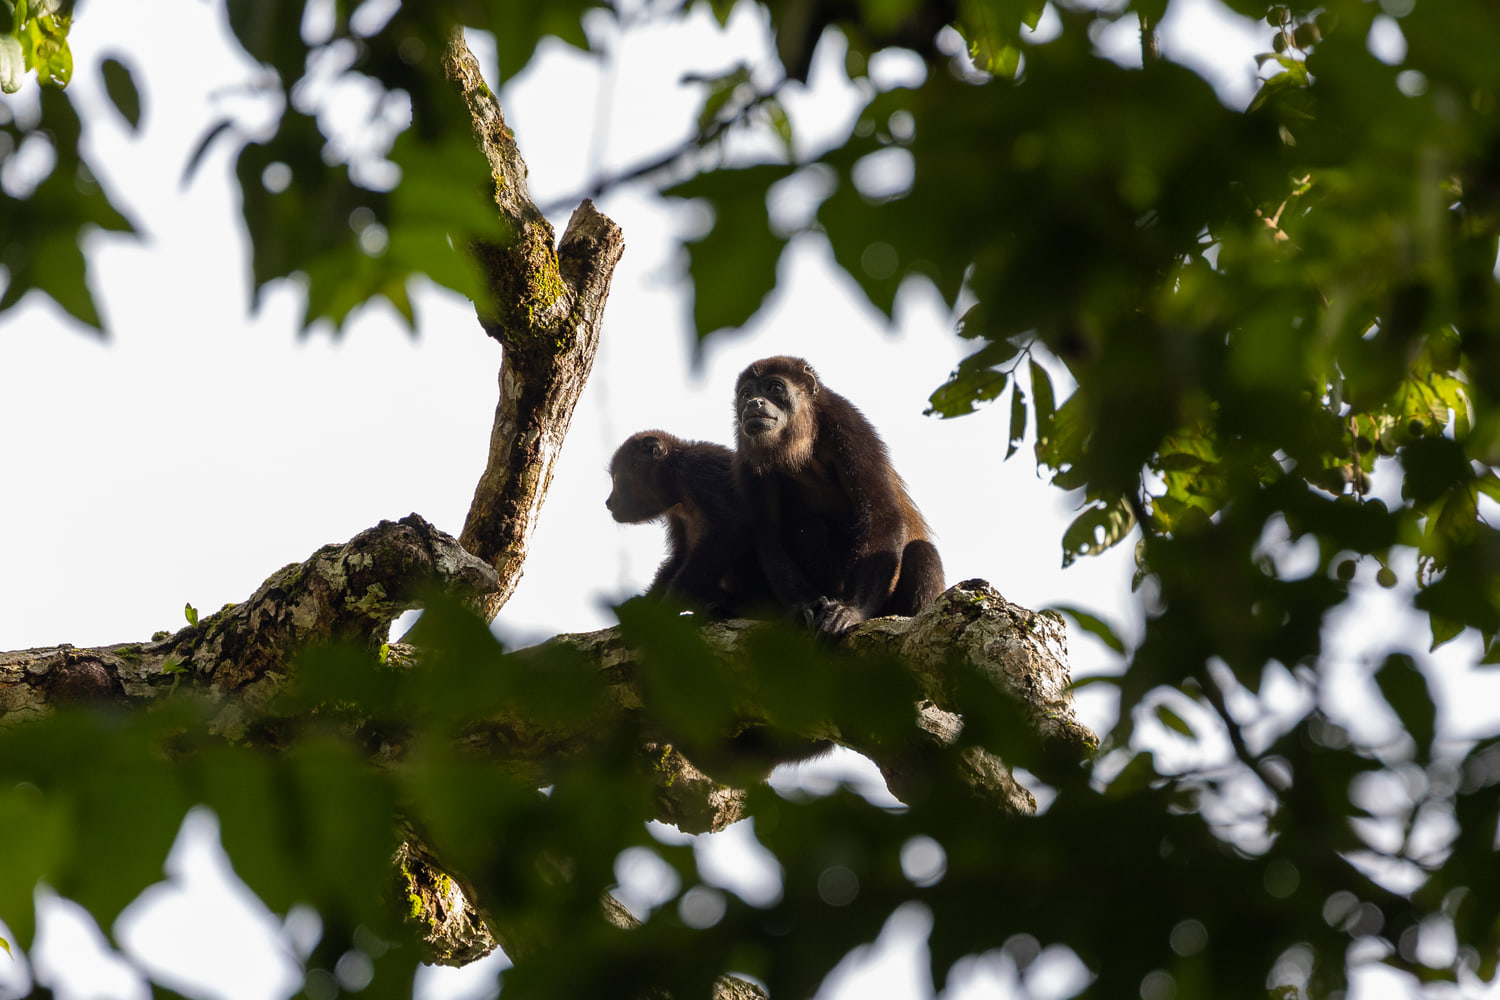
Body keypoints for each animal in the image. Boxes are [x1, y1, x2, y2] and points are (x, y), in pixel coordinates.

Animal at [606, 430, 768, 616]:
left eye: (616, 480)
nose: (609, 502)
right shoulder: (675, 513)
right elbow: (680, 555)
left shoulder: (697, 468)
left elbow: (729, 528)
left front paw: (667, 608)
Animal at [732, 356, 945, 637]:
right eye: (746, 393)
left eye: (774, 388)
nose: (753, 403)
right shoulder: (747, 458)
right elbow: (769, 535)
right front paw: (805, 608)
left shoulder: (848, 423)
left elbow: (882, 515)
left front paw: (852, 612)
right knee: (811, 528)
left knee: (922, 551)